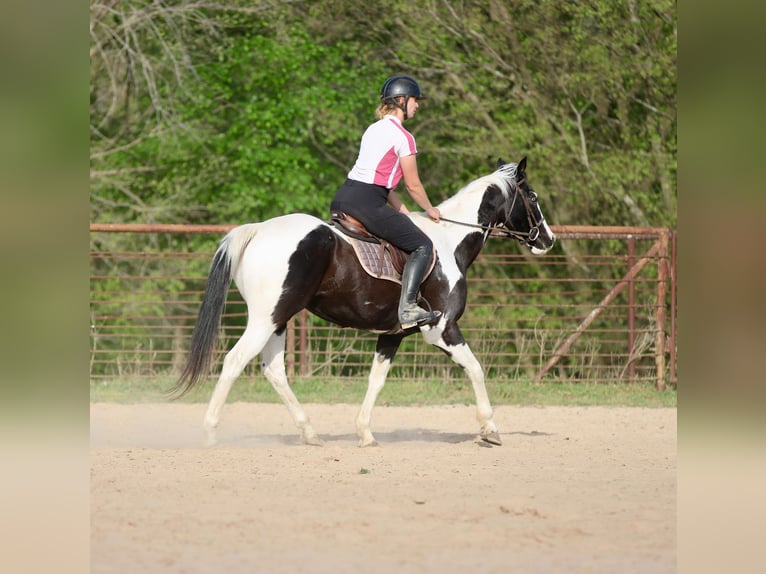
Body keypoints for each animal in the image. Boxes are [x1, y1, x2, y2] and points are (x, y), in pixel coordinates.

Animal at [172, 157, 555, 447]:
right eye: (533, 197)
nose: (548, 240)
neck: (450, 241)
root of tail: (258, 229)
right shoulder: (442, 328)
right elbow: (475, 368)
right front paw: (489, 429)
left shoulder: (392, 334)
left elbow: (376, 380)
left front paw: (365, 433)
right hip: (267, 317)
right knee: (235, 360)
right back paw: (210, 432)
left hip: (279, 319)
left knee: (273, 369)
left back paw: (309, 432)